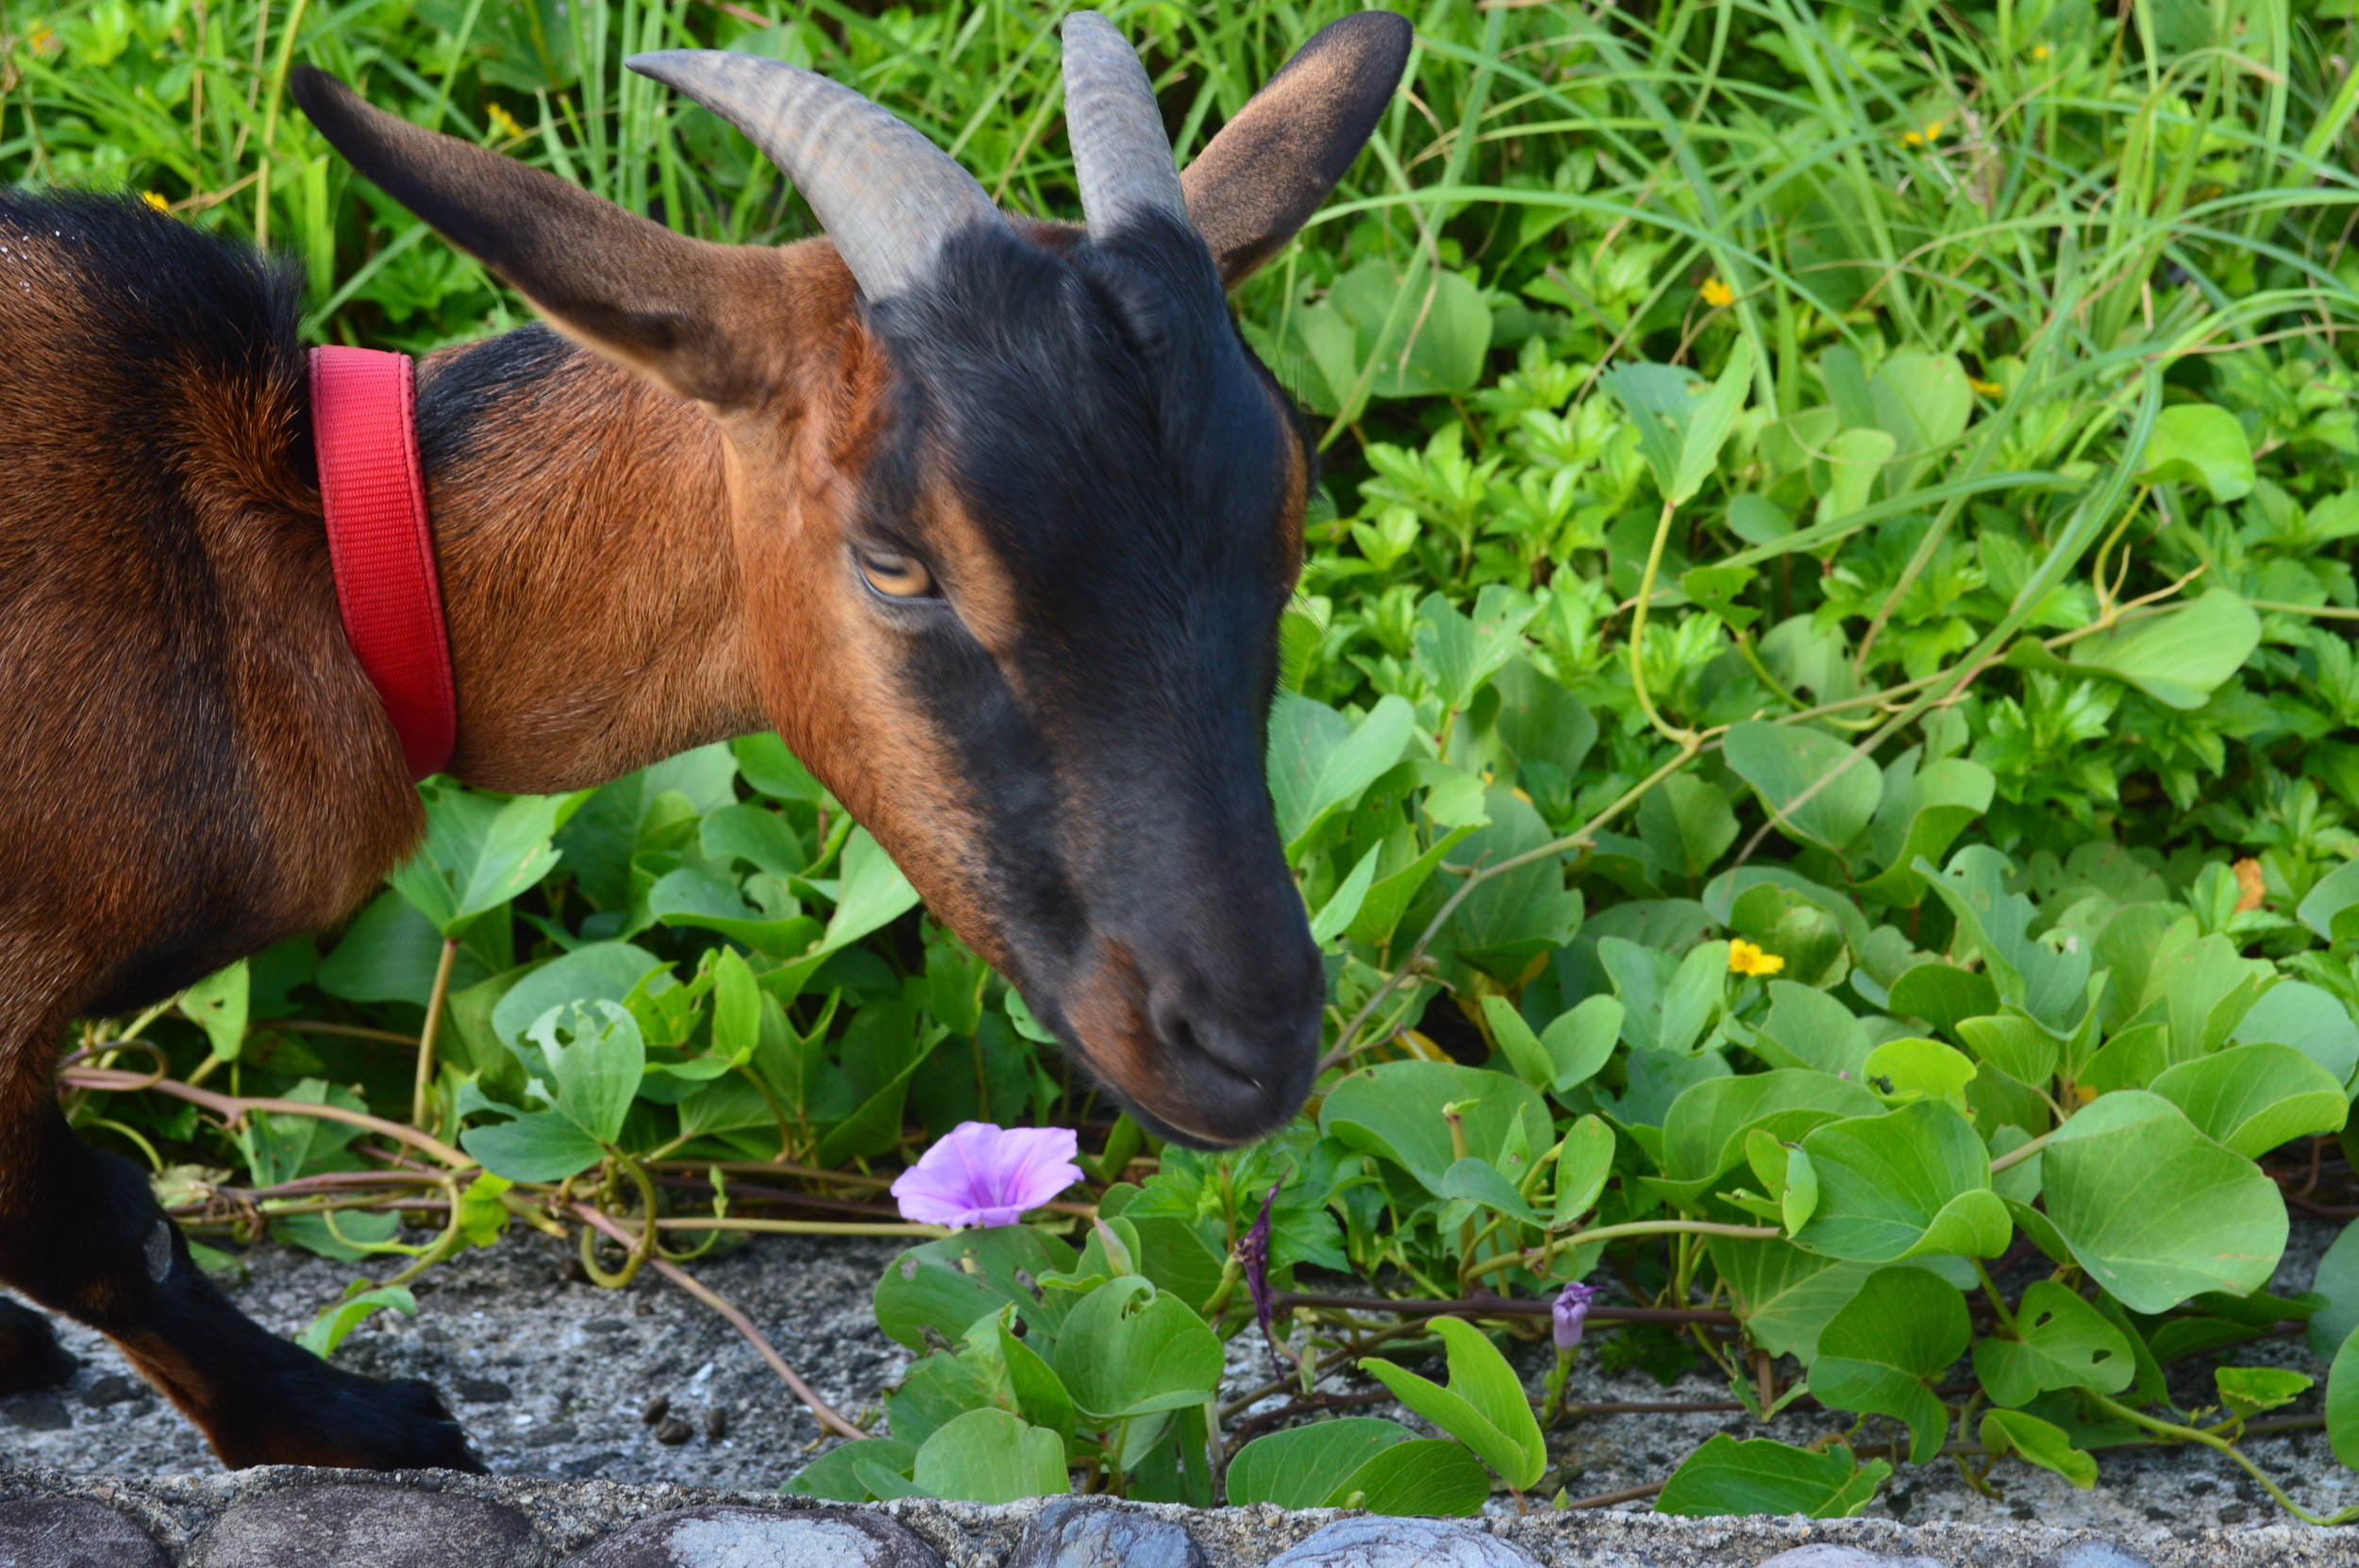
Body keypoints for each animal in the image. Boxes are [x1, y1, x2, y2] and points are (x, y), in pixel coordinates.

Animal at [0, 12, 1410, 1472]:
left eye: (1291, 508)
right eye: (897, 562)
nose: (1250, 1042)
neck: (289, 551)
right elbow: (94, 1223)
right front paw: (360, 1424)